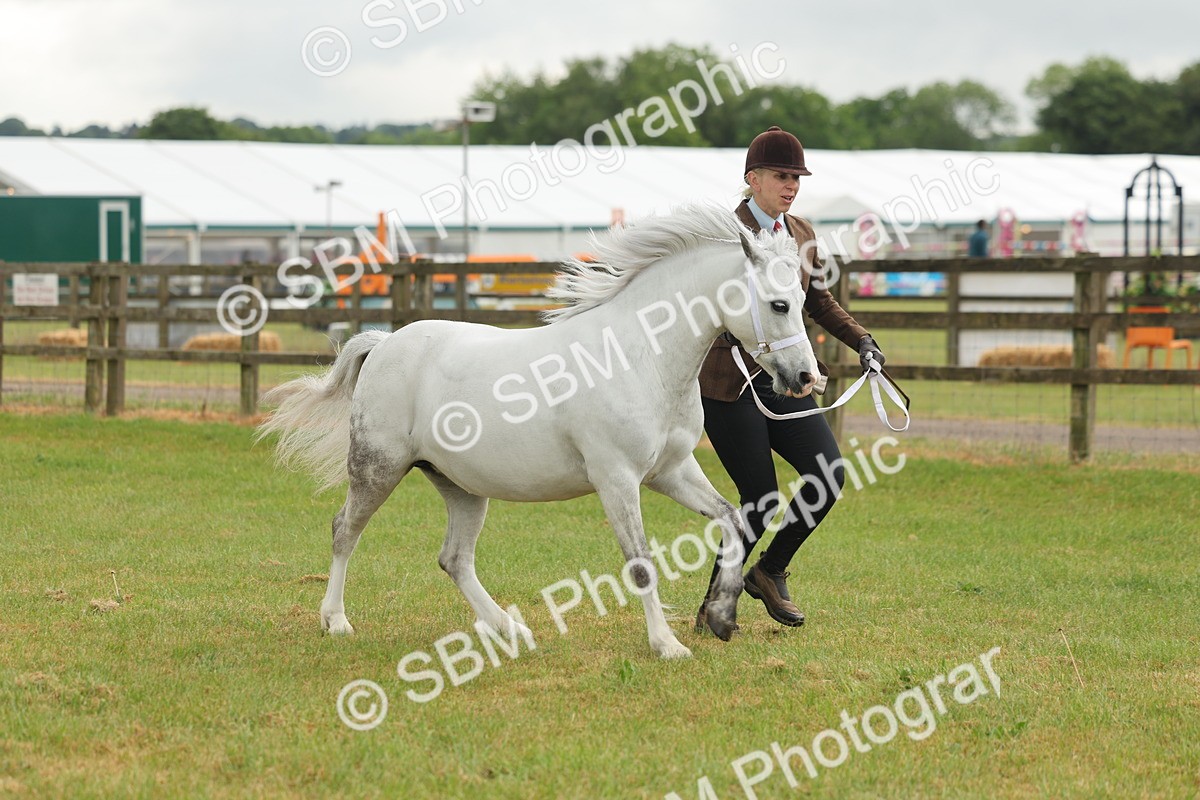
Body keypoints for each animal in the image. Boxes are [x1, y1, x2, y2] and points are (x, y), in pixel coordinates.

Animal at [257, 203, 819, 659]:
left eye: (801, 299)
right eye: (779, 304)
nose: (806, 378)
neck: (639, 356)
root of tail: (384, 342)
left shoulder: (671, 472)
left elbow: (731, 520)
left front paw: (721, 617)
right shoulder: (617, 479)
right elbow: (641, 564)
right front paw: (667, 645)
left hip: (460, 485)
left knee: (454, 559)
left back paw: (512, 631)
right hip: (379, 468)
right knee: (345, 531)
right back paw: (336, 621)